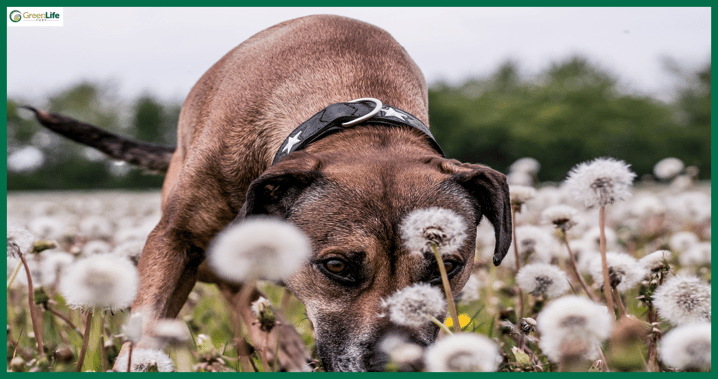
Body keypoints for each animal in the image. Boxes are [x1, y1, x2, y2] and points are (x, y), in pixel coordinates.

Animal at [26, 14, 512, 372]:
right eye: (336, 266)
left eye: (448, 267)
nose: (401, 364)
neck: (353, 109)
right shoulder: (175, 239)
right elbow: (148, 324)